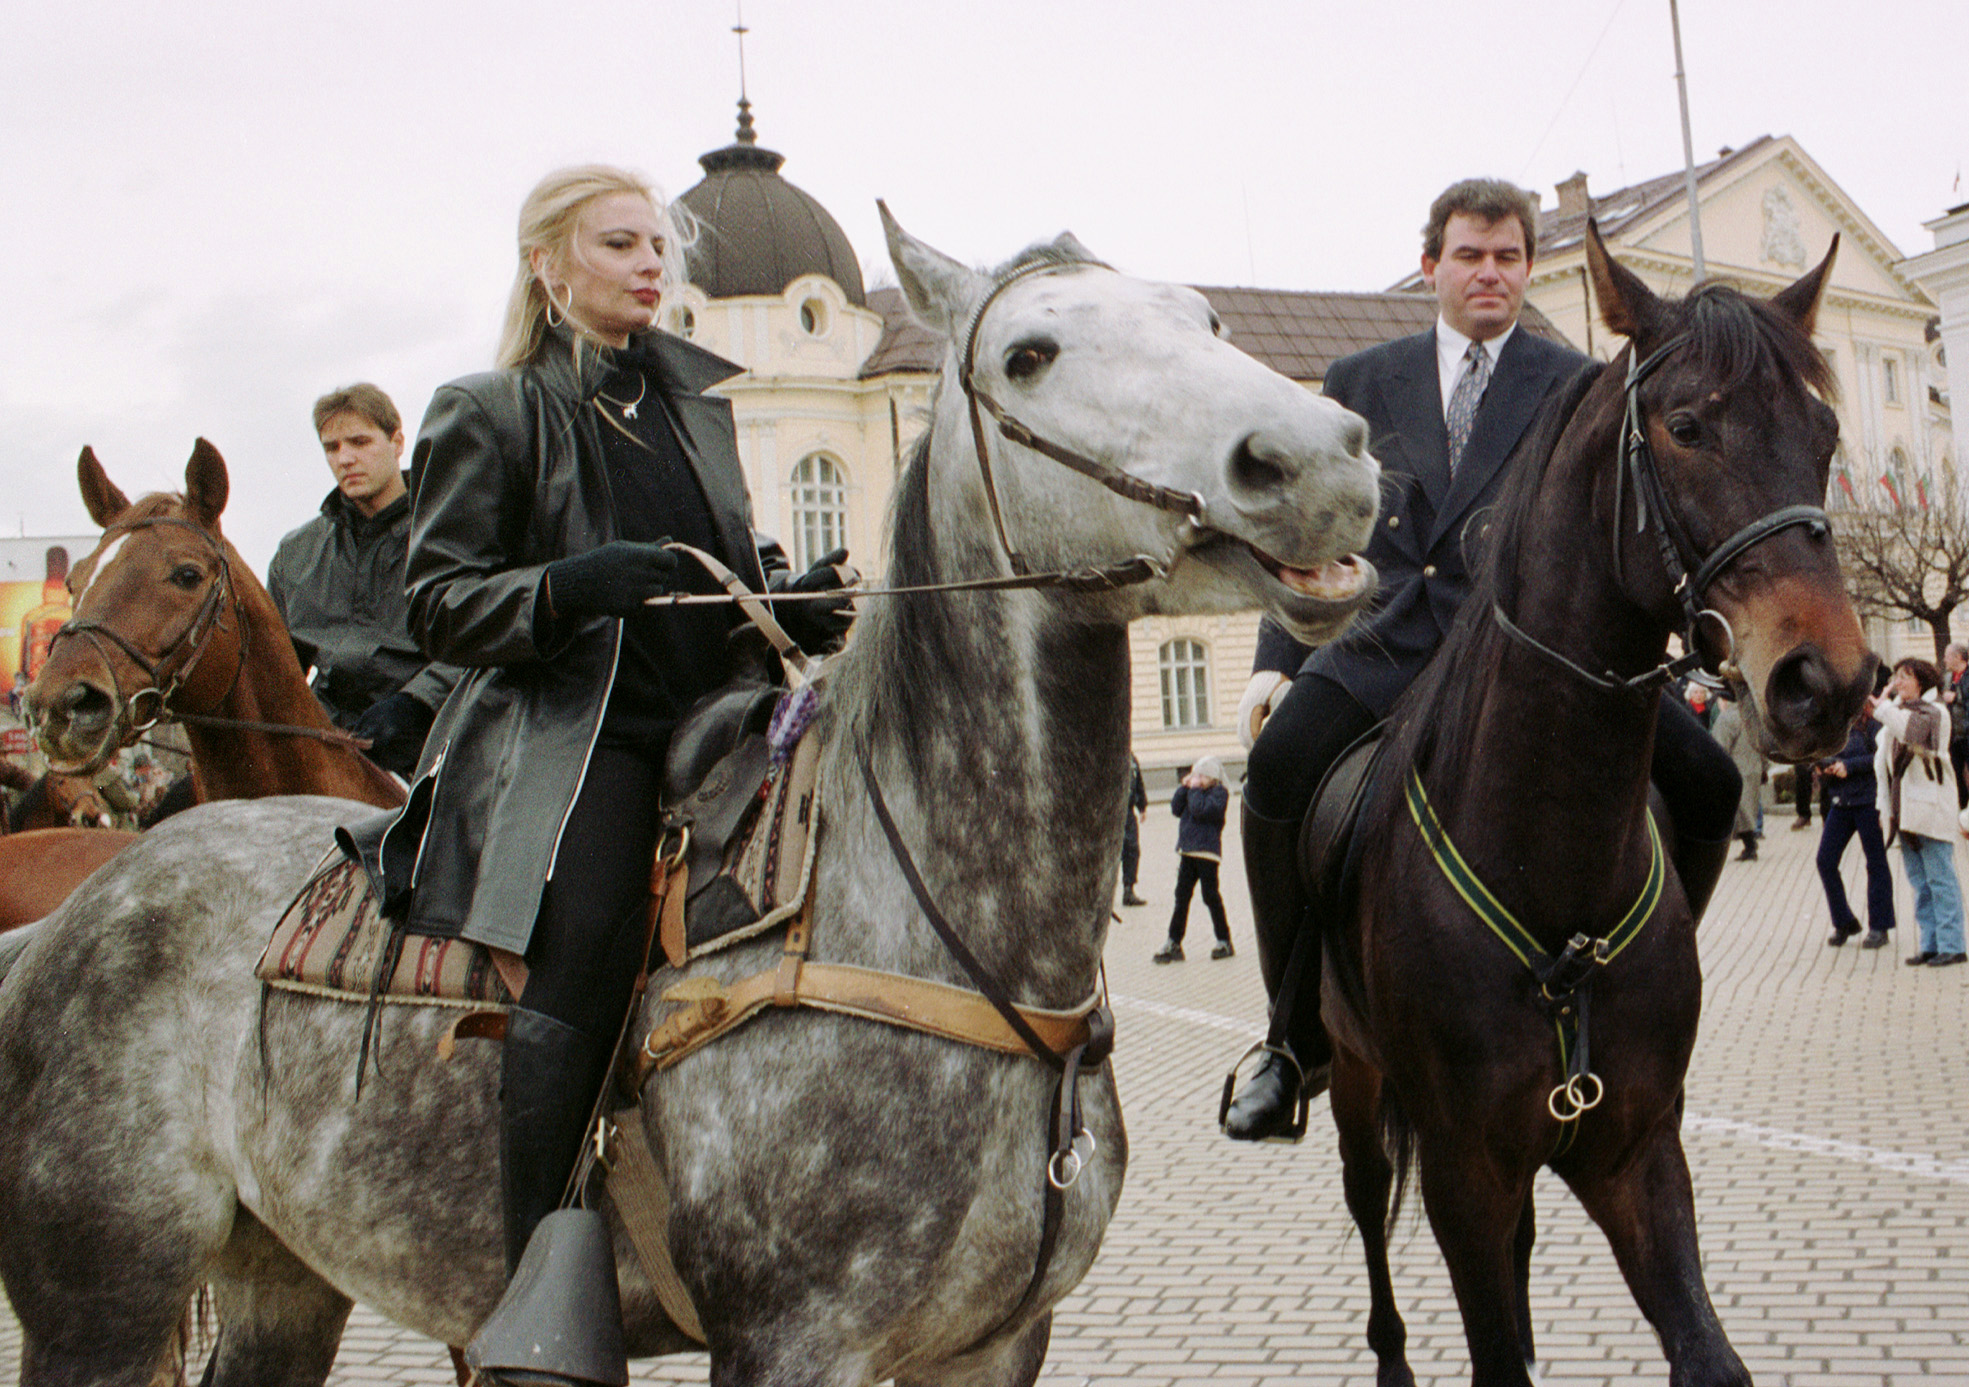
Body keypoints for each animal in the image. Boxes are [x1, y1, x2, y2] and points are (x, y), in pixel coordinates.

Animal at [1331, 222, 1866, 1379]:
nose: (1828, 683)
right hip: (1350, 1078)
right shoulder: (1464, 1172)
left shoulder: (1633, 1150)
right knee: (1365, 1206)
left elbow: (1707, 1352)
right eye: (1685, 427)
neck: (1552, 867)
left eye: (1825, 433)